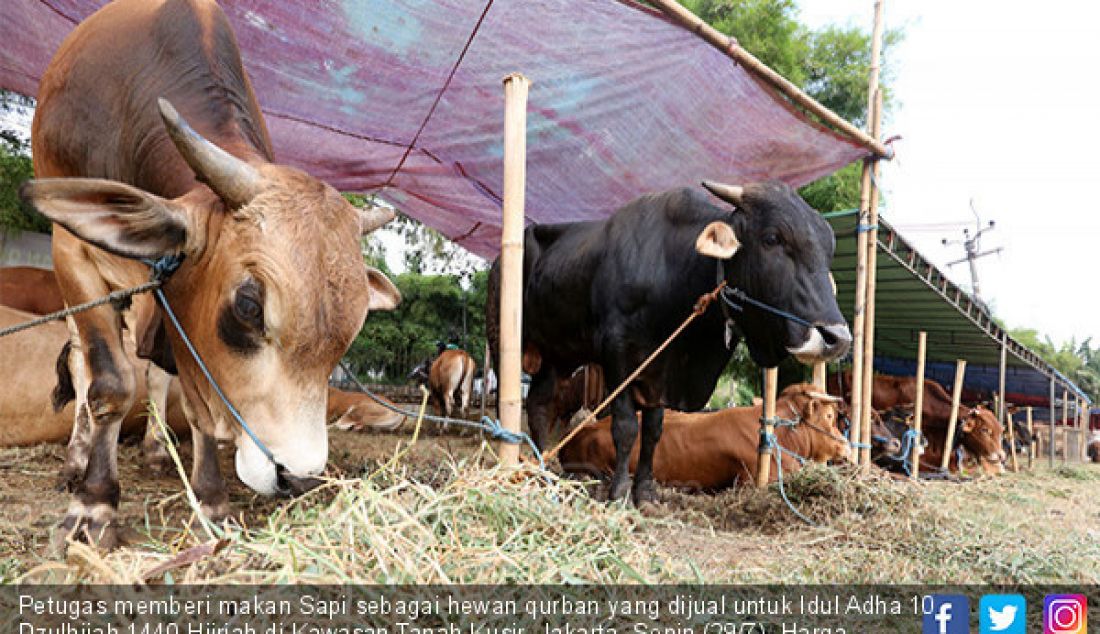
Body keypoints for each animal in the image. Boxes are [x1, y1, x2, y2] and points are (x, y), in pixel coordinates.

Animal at [20, 0, 400, 548]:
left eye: (352, 329)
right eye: (249, 306)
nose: (297, 477)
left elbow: (193, 397)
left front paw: (211, 498)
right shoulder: (75, 254)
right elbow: (109, 383)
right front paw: (94, 504)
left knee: (155, 372)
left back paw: (156, 451)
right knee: (82, 366)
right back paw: (76, 462)